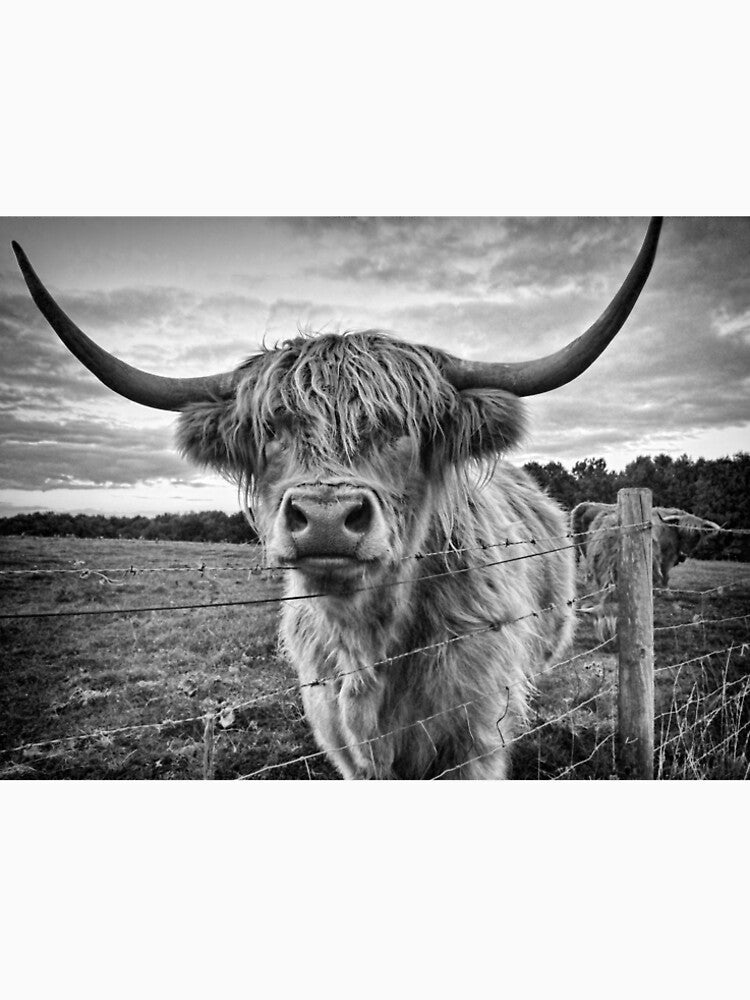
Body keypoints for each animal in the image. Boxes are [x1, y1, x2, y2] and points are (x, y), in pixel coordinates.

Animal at [11, 218, 662, 778]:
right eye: (272, 429)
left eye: (402, 429)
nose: (325, 518)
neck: (367, 648)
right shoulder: (342, 741)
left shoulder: (476, 737)